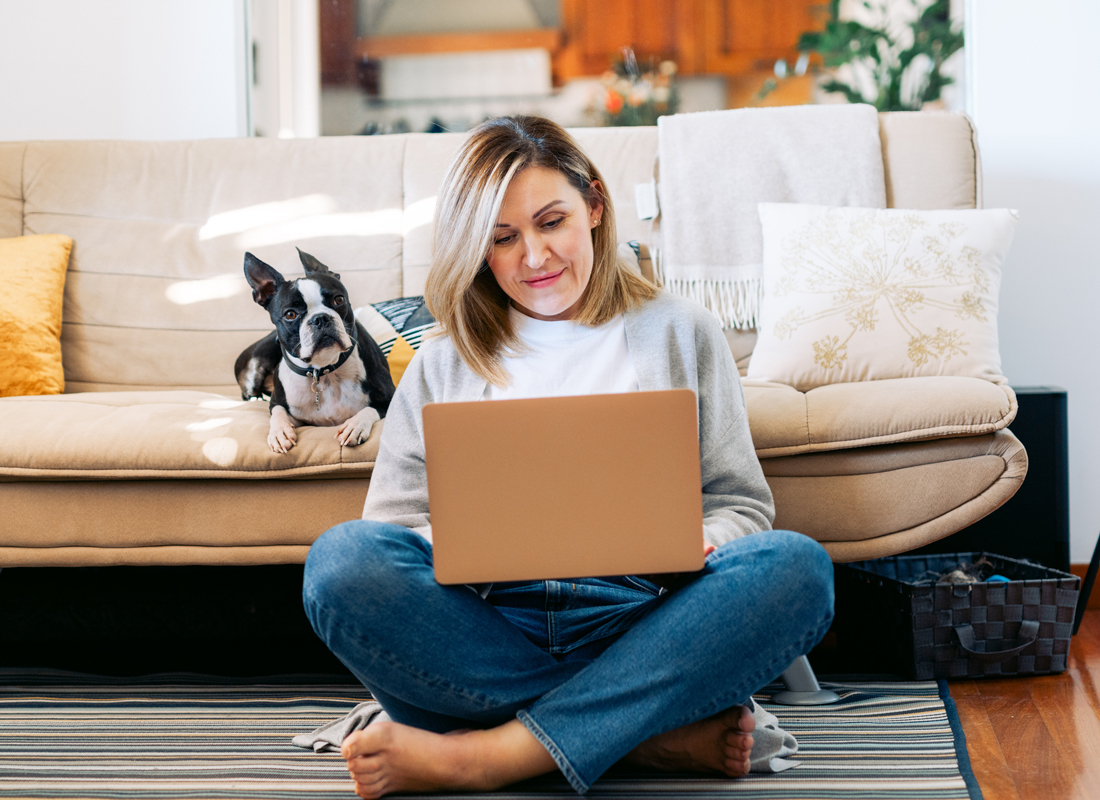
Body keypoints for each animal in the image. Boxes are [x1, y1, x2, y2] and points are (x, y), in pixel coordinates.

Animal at [236, 247, 396, 453]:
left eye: (338, 300)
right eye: (290, 314)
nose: (320, 318)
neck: (323, 370)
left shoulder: (389, 397)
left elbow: (369, 409)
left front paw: (354, 426)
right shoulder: (281, 405)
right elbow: (277, 412)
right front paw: (279, 432)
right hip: (255, 364)